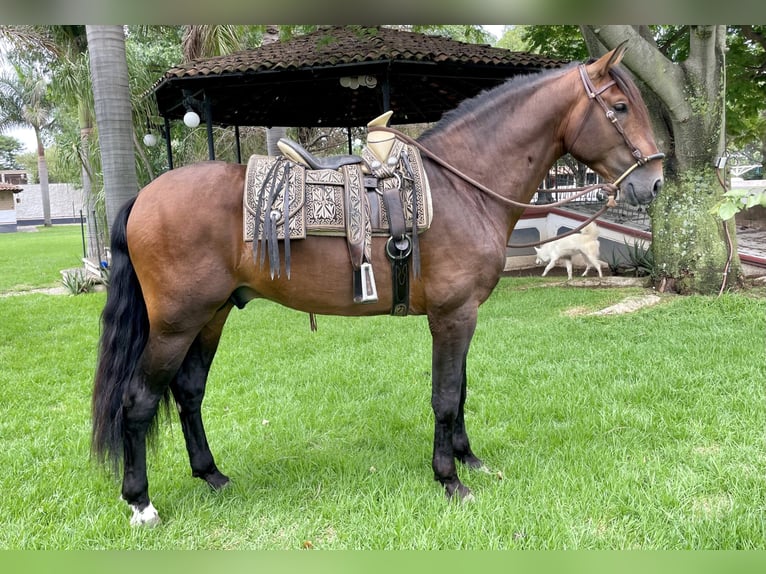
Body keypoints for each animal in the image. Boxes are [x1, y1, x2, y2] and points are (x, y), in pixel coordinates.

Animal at [91, 42, 664, 528]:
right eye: (619, 107)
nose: (654, 182)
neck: (462, 188)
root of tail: (143, 197)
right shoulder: (453, 315)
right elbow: (445, 395)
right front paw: (449, 479)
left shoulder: (463, 317)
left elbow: (461, 390)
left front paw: (467, 458)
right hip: (175, 323)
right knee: (138, 402)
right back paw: (140, 503)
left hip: (211, 316)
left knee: (188, 393)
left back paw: (211, 474)